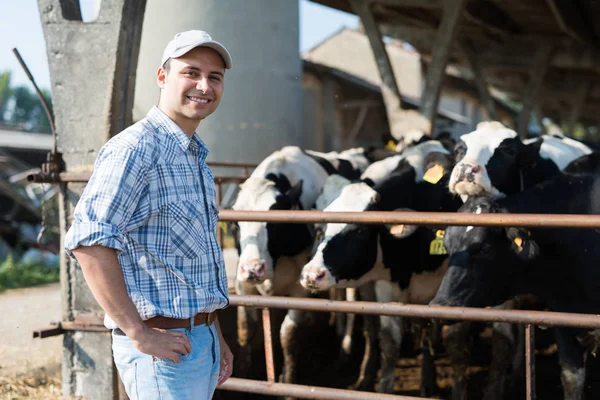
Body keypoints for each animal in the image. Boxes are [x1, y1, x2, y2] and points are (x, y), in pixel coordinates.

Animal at [231, 145, 368, 384]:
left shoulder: (300, 287)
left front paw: (288, 378)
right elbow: (246, 329)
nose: (253, 269)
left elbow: (288, 334)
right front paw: (242, 371)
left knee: (351, 303)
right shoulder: (243, 285)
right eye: (236, 225)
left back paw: (345, 347)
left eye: (274, 224)